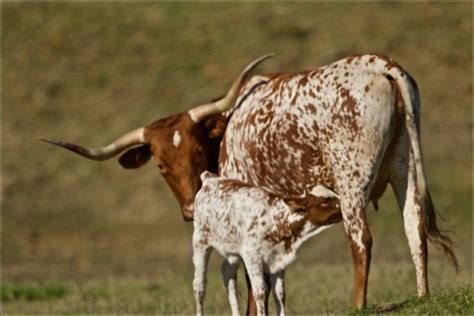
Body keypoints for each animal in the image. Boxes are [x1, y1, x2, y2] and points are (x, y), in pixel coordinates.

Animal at [193, 172, 340, 314]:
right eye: (325, 201)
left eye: (333, 191)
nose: (343, 204)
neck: (276, 220)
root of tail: (209, 178)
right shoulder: (252, 256)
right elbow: (260, 292)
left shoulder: (279, 259)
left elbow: (280, 294)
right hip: (200, 242)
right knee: (199, 287)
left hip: (232, 250)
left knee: (227, 274)